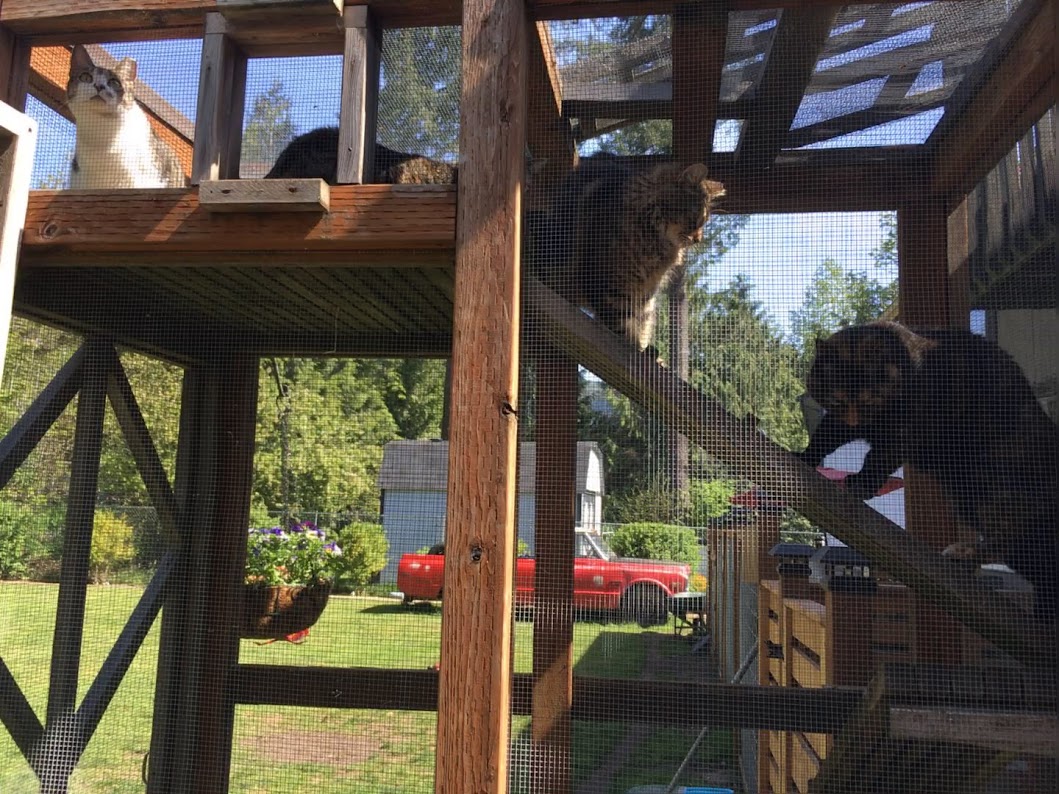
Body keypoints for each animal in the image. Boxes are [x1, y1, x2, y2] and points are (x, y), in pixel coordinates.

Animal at [532, 154, 725, 351]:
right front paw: (633, 346)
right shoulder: (608, 282)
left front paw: (644, 348)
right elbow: (621, 322)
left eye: (704, 222)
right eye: (696, 219)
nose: (698, 239)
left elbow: (642, 320)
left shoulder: (646, 290)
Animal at [799, 320, 1058, 621]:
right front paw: (805, 456)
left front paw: (862, 484)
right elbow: (825, 437)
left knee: (1008, 538)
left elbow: (879, 457)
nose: (855, 421)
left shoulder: (903, 432)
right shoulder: (841, 423)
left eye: (868, 401)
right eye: (838, 401)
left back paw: (963, 554)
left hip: (988, 485)